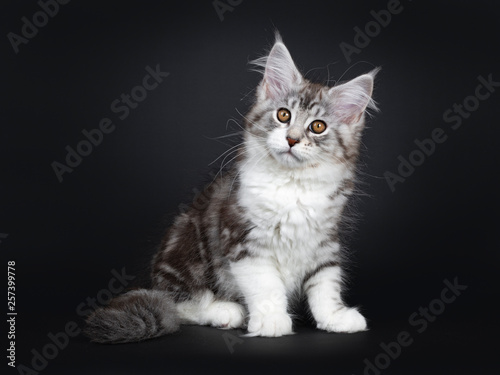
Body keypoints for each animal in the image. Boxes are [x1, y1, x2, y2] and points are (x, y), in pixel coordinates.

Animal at [85, 35, 378, 344]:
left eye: (318, 126)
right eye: (283, 115)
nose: (292, 139)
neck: (291, 184)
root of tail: (154, 280)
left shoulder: (324, 241)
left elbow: (325, 284)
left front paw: (335, 317)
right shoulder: (244, 241)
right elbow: (267, 286)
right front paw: (272, 321)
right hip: (185, 254)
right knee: (180, 304)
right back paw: (225, 311)